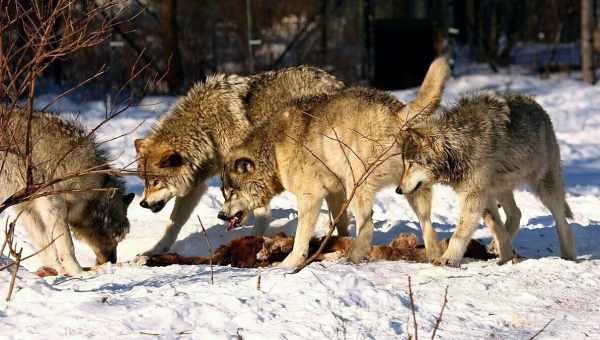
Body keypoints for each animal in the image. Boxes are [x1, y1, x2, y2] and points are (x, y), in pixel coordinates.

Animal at [0, 107, 134, 274]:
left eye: (120, 238)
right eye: (116, 237)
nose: (113, 261)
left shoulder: (27, 210)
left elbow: (45, 247)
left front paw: (57, 272)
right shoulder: (53, 205)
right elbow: (67, 246)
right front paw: (78, 273)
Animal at [133, 65, 344, 255]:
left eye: (156, 182)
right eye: (145, 182)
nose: (142, 203)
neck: (207, 130)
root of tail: (338, 83)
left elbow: (260, 212)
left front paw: (254, 239)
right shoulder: (196, 185)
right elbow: (173, 223)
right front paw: (154, 250)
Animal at [217, 59, 450, 268]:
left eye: (232, 192)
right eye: (224, 193)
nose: (220, 215)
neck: (273, 150)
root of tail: (396, 112)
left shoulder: (310, 197)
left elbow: (300, 240)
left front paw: (287, 264)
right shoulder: (335, 194)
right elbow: (341, 226)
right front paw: (336, 242)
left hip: (357, 187)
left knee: (368, 227)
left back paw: (352, 256)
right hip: (411, 190)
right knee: (428, 227)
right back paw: (433, 257)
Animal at [398, 91, 576, 266]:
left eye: (411, 164)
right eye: (405, 164)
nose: (398, 190)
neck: (460, 143)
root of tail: (536, 104)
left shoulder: (473, 196)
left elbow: (459, 234)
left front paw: (447, 259)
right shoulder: (483, 195)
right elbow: (496, 226)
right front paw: (506, 257)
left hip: (544, 188)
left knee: (563, 222)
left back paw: (569, 257)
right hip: (500, 189)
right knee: (516, 214)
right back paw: (496, 247)